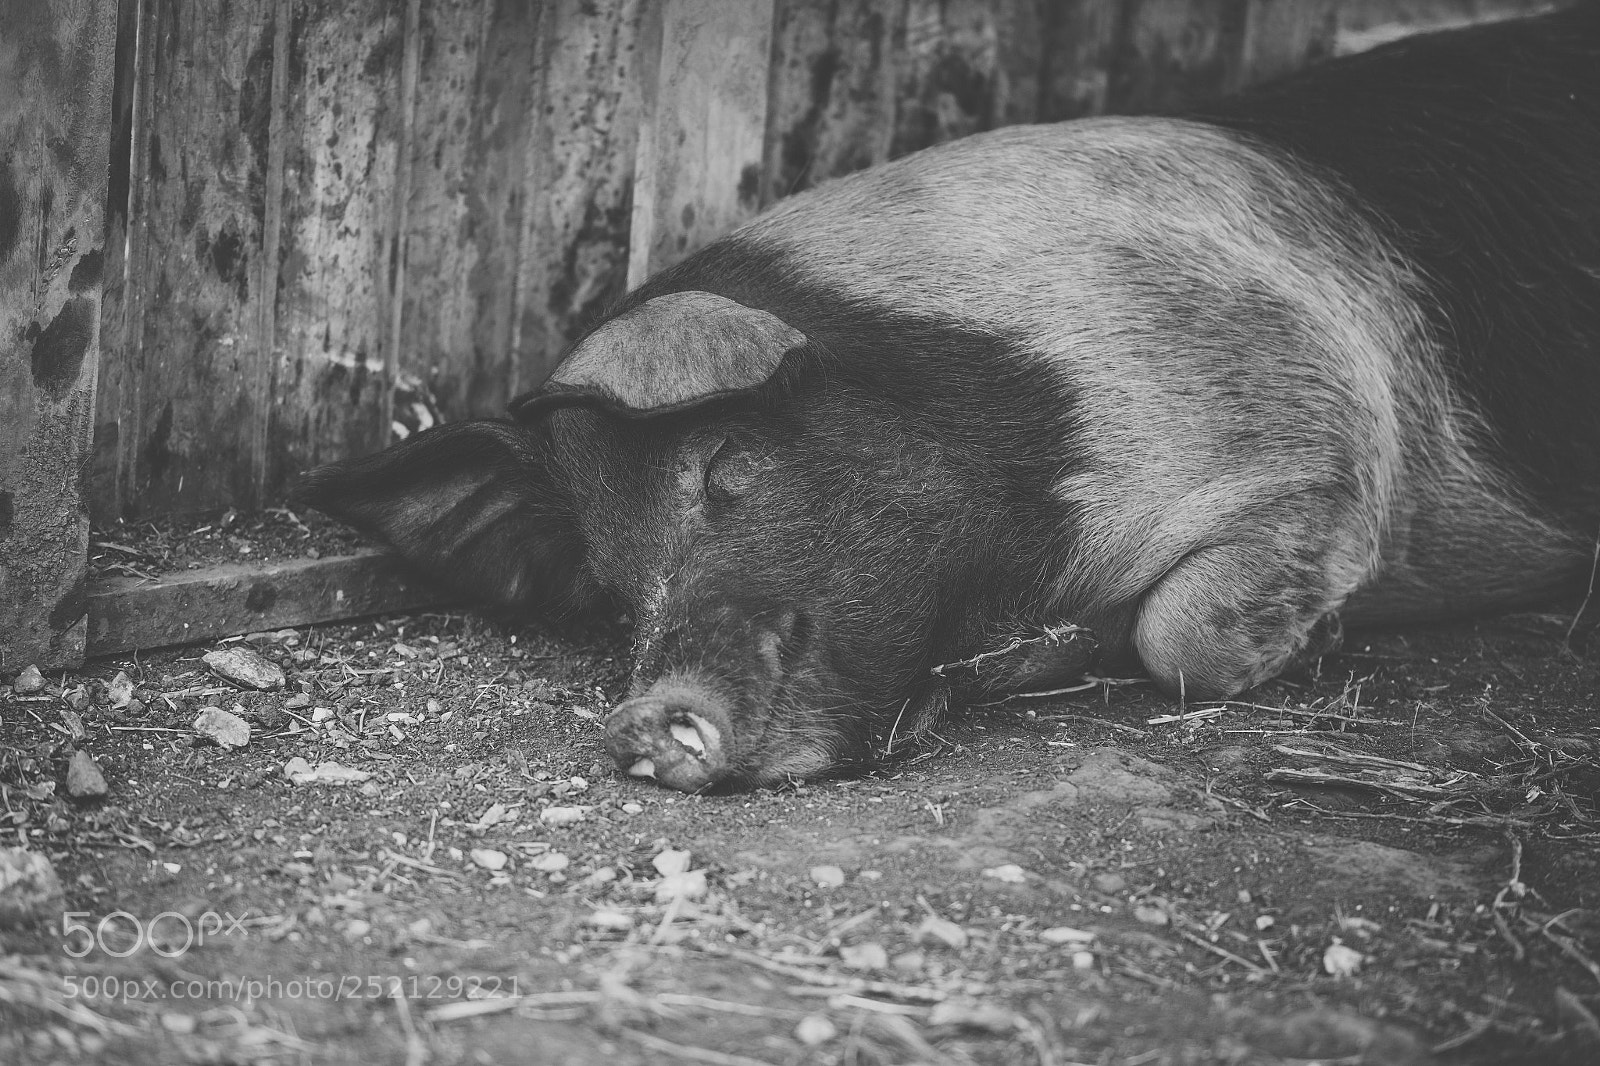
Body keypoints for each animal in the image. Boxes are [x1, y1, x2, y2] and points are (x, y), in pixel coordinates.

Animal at [297, 6, 1600, 792]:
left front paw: (1312, 640)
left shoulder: (1316, 423)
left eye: (724, 470)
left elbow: (1182, 634)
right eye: (614, 590)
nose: (642, 721)